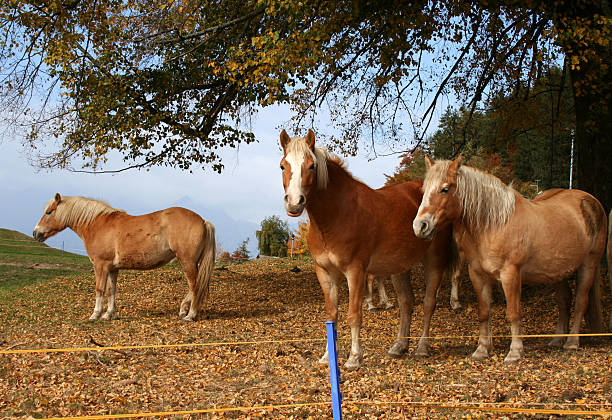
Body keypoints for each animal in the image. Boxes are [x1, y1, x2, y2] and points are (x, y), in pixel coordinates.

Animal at [33, 194, 216, 322]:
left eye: (48, 212)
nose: (36, 233)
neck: (97, 224)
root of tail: (202, 220)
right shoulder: (112, 268)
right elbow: (111, 290)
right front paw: (109, 314)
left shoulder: (100, 265)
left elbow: (99, 290)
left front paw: (95, 315)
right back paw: (183, 310)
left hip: (188, 262)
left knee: (194, 286)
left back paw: (190, 315)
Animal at [278, 130, 460, 370]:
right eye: (282, 166)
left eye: (311, 166)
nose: (294, 202)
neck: (336, 214)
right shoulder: (325, 273)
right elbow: (331, 315)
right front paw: (328, 356)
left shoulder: (355, 271)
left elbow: (354, 315)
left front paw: (354, 358)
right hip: (400, 268)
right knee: (406, 303)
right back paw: (399, 347)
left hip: (435, 261)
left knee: (429, 303)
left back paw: (422, 348)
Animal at [412, 156, 608, 362]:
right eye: (424, 190)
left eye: (445, 188)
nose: (420, 226)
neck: (494, 225)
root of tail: (592, 202)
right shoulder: (478, 275)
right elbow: (484, 312)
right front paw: (482, 350)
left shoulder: (510, 274)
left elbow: (513, 313)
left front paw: (515, 352)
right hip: (558, 271)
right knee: (564, 302)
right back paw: (557, 340)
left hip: (588, 265)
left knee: (580, 302)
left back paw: (571, 342)